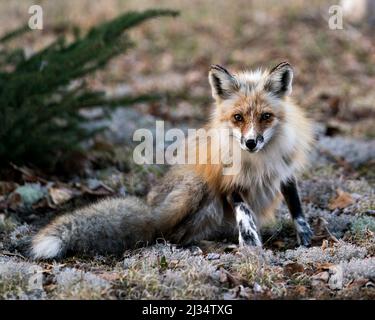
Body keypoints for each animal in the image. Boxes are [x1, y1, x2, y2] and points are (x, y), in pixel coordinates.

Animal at [30, 62, 316, 260]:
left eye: (266, 116)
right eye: (238, 118)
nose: (250, 143)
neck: (259, 160)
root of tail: (150, 208)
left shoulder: (285, 170)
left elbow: (296, 207)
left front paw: (305, 239)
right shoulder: (227, 179)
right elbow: (244, 213)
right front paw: (250, 243)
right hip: (196, 190)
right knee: (169, 236)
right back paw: (208, 246)